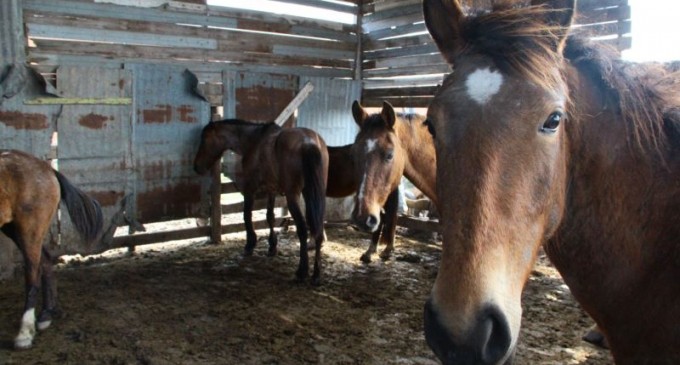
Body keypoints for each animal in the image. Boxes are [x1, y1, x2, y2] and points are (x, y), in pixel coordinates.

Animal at [0, 149, 103, 348]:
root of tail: (47, 168)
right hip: (13, 229)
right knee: (45, 261)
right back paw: (46, 314)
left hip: (29, 229)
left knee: (32, 273)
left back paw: (25, 333)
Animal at [194, 119, 330, 284]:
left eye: (204, 140)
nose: (196, 166)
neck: (254, 140)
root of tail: (308, 142)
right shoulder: (271, 190)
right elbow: (270, 217)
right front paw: (272, 246)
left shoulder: (250, 188)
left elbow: (247, 214)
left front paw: (250, 243)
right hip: (316, 194)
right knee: (318, 229)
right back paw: (316, 274)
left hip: (293, 196)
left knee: (303, 229)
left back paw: (302, 271)